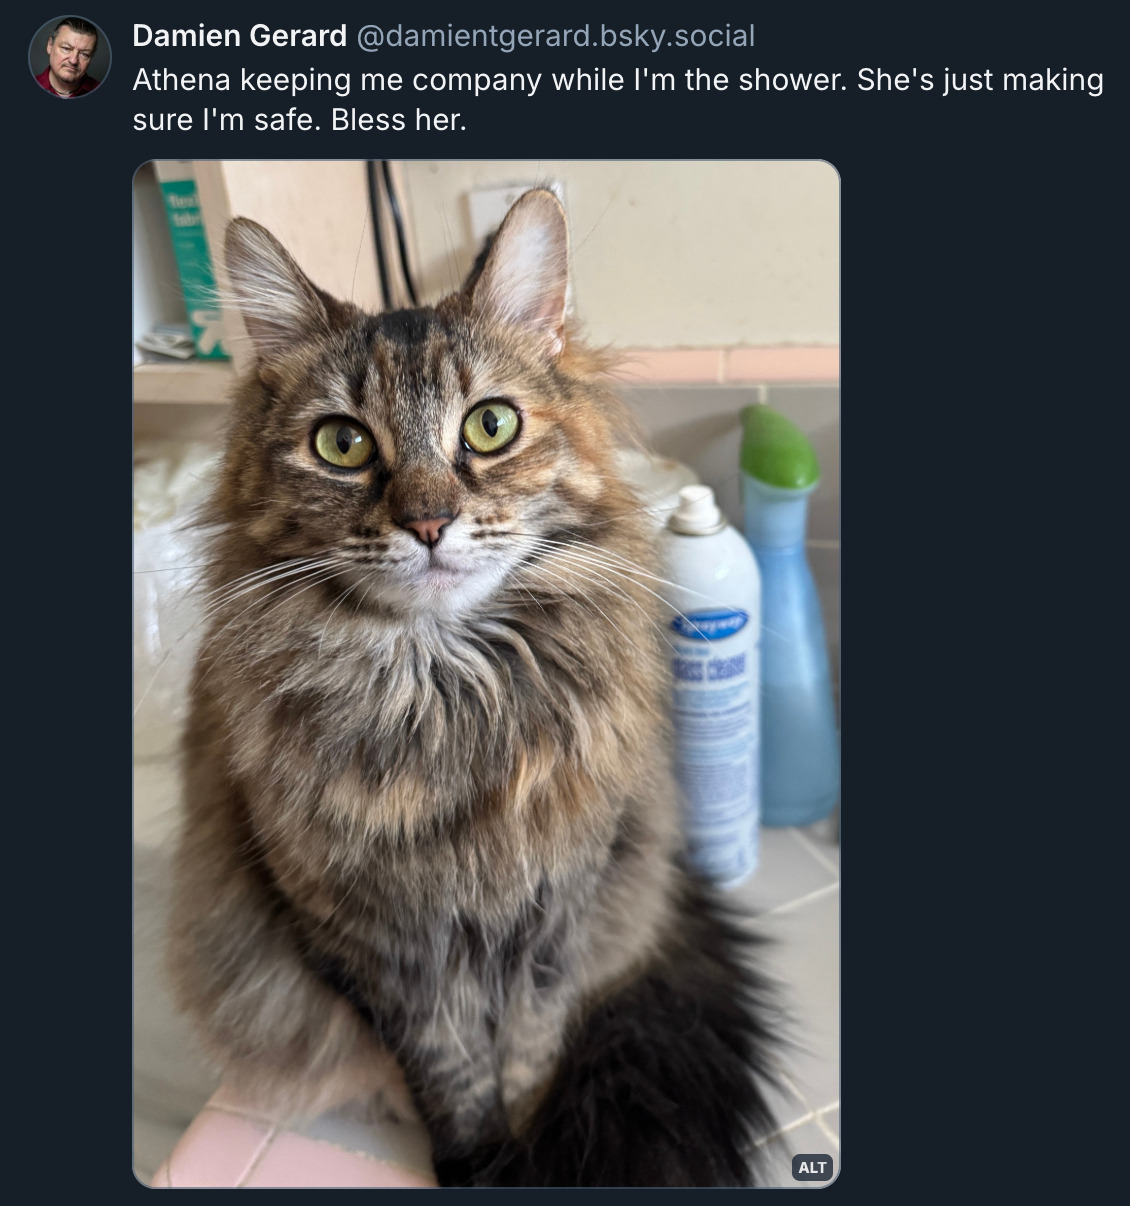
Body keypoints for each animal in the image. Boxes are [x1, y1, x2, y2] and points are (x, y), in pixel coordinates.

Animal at [167, 190, 781, 1186]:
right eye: (342, 444)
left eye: (489, 426)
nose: (428, 522)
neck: (450, 697)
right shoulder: (376, 942)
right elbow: (446, 1067)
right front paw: (475, 1159)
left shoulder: (557, 912)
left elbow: (529, 1050)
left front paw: (524, 1142)